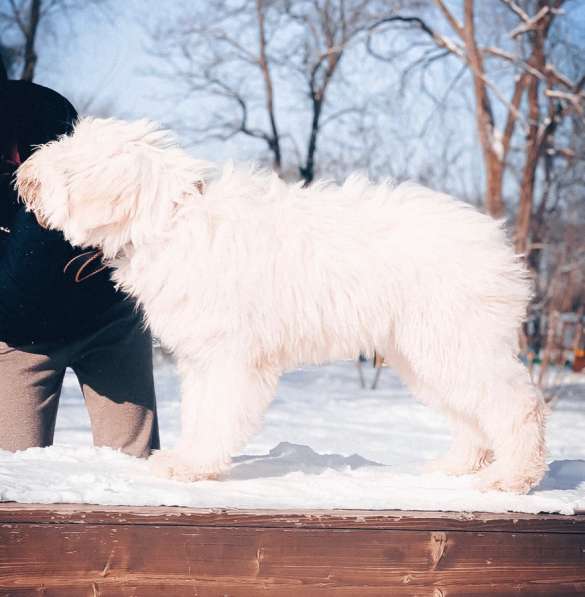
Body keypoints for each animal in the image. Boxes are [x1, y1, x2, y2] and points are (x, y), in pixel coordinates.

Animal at [18, 117, 548, 494]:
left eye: (69, 159)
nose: (24, 174)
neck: (169, 220)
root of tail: (497, 242)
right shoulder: (201, 356)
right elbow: (198, 411)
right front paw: (186, 459)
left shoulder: (229, 356)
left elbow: (218, 413)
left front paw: (194, 465)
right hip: (425, 354)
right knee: (472, 414)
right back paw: (457, 465)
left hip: (455, 340)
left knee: (517, 405)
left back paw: (512, 477)